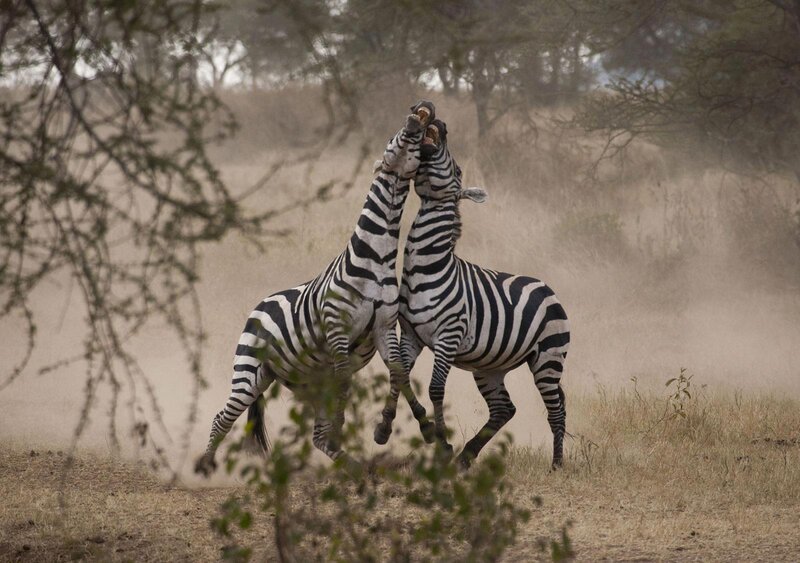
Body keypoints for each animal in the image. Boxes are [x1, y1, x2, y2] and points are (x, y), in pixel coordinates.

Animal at [195, 102, 436, 476]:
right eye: (394, 139)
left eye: (415, 146)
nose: (416, 115)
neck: (378, 256)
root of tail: (259, 304)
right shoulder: (337, 325)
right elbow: (345, 381)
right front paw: (347, 426)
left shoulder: (384, 327)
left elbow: (399, 374)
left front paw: (419, 427)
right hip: (249, 369)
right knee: (224, 416)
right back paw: (206, 464)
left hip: (299, 381)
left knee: (317, 437)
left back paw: (354, 465)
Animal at [379, 117, 571, 470]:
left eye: (456, 169)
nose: (441, 122)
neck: (427, 267)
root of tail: (548, 287)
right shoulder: (411, 334)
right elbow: (400, 376)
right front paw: (384, 428)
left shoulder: (448, 336)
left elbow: (436, 389)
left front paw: (441, 442)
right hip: (490, 368)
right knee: (504, 409)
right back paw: (466, 457)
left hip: (548, 358)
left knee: (556, 411)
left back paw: (557, 465)